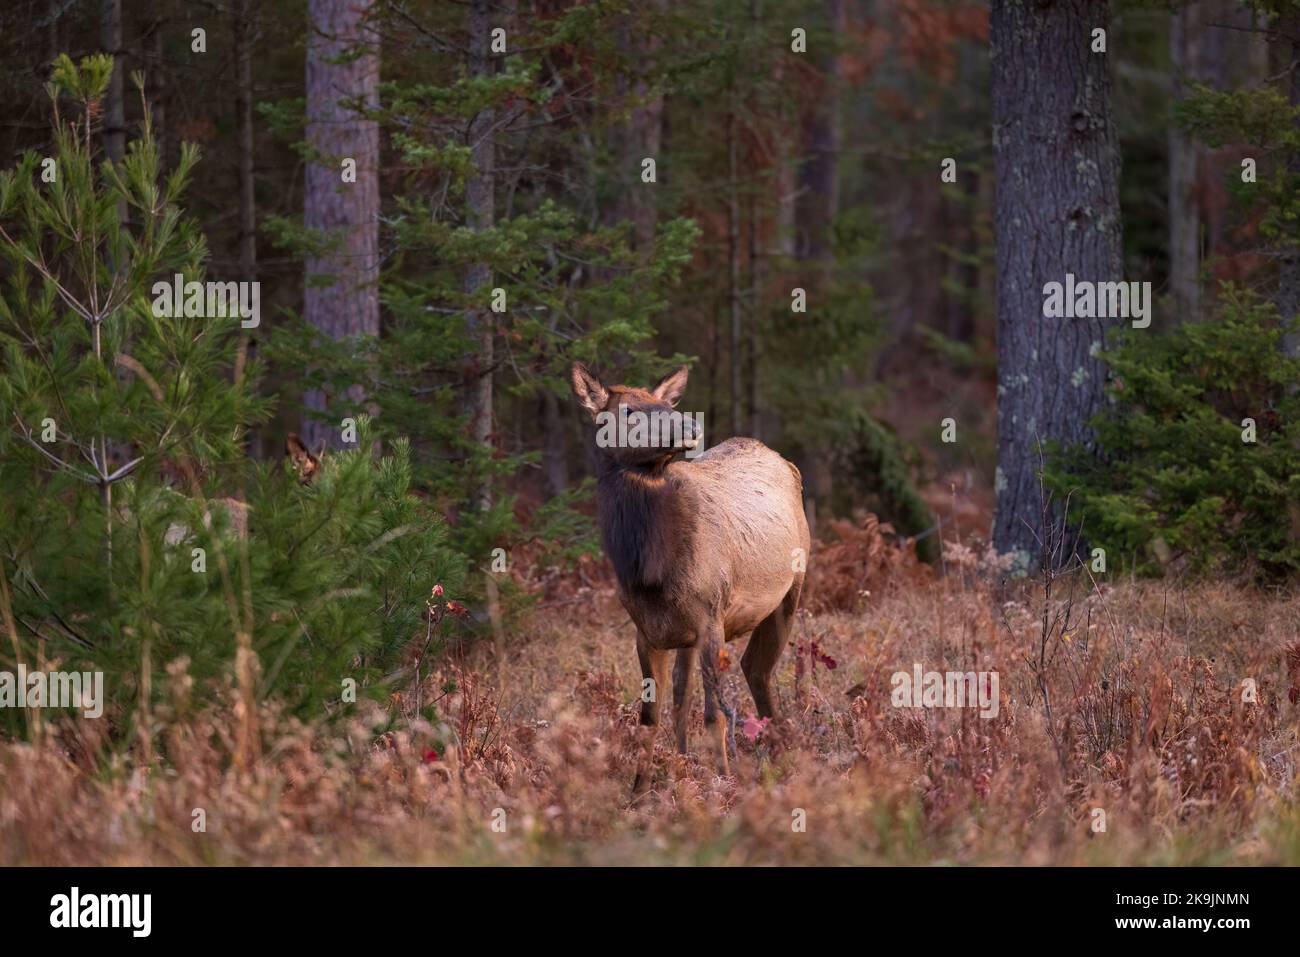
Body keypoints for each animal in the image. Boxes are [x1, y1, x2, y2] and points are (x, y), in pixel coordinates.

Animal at [570, 361, 810, 793]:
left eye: (667, 404)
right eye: (628, 410)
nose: (689, 424)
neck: (650, 572)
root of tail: (783, 459)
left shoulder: (711, 618)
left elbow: (714, 716)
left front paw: (724, 785)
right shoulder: (647, 632)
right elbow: (650, 719)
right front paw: (639, 793)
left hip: (789, 593)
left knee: (757, 668)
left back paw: (780, 756)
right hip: (685, 633)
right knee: (686, 693)